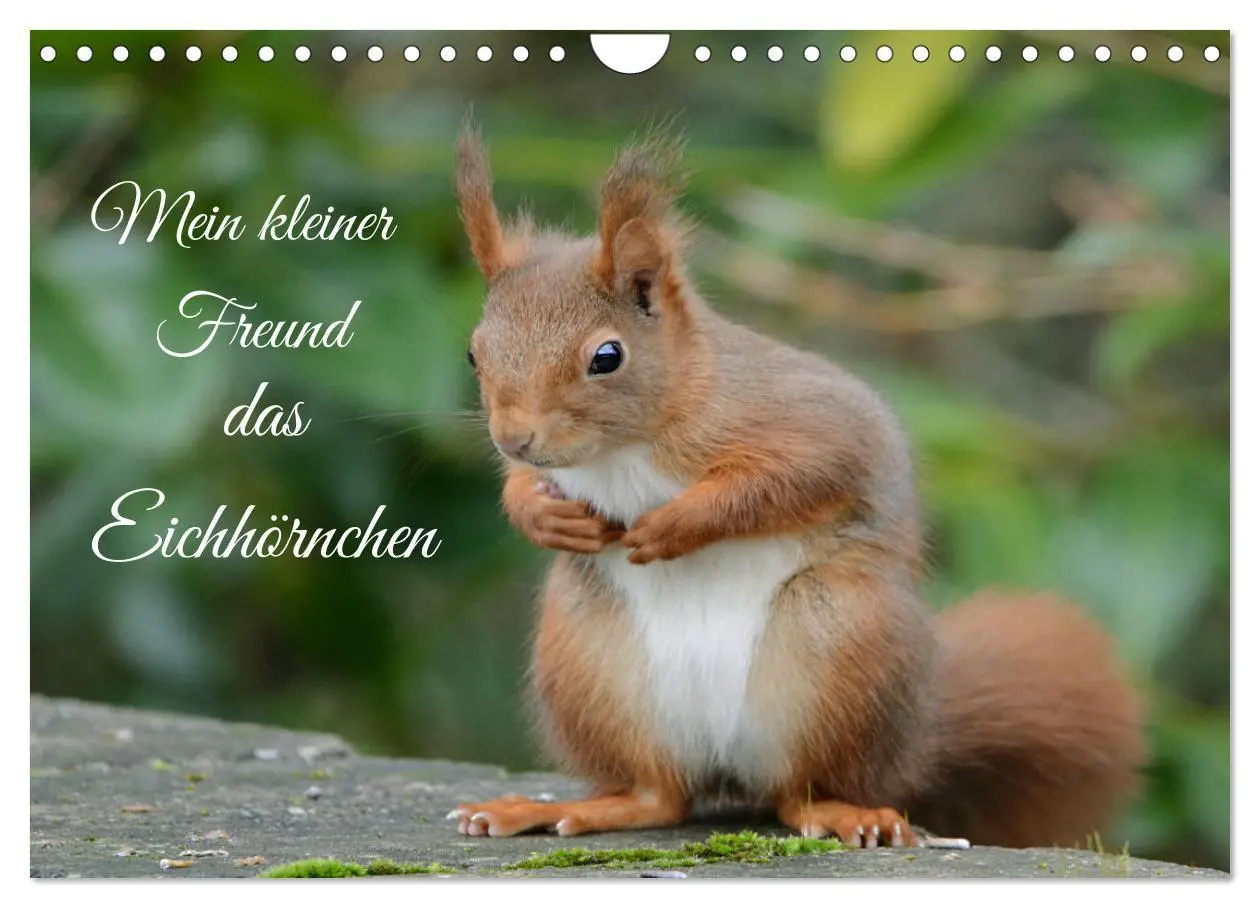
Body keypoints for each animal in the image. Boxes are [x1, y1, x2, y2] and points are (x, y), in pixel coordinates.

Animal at [445, 122, 1146, 848]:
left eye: (606, 357)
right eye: (473, 352)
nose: (514, 437)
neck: (626, 446)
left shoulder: (807, 422)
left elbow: (791, 476)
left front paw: (675, 525)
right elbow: (527, 487)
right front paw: (542, 514)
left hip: (835, 646)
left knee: (797, 795)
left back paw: (848, 813)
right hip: (591, 663)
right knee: (660, 797)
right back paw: (560, 808)